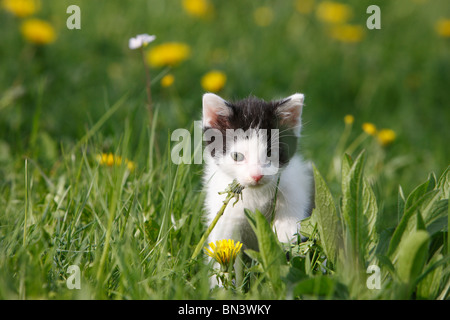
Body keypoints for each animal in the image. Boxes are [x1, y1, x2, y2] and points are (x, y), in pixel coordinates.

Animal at [203, 92, 312, 252]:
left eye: (270, 153)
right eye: (237, 156)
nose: (257, 175)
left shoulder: (294, 185)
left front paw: (285, 237)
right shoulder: (225, 217)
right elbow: (225, 243)